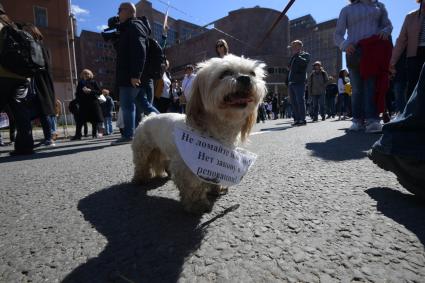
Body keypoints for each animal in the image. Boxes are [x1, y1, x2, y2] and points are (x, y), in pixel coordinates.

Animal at [132, 55, 264, 215]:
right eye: (225, 73)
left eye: (252, 73)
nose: (245, 78)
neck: (216, 131)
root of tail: (148, 117)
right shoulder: (186, 167)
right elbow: (193, 187)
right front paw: (197, 205)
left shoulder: (216, 160)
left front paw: (216, 188)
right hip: (143, 150)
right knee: (141, 164)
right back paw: (140, 179)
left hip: (160, 150)